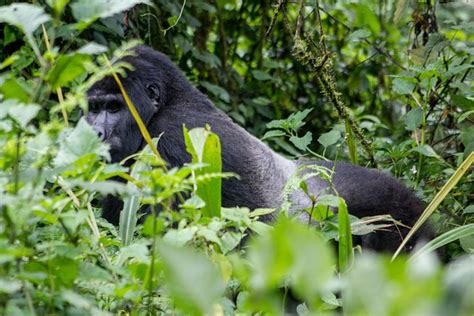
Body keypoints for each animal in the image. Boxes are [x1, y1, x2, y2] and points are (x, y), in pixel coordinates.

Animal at [86, 45, 430, 252]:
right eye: (93, 108)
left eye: (115, 108)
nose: (94, 132)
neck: (168, 102)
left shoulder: (171, 138)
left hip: (399, 219)